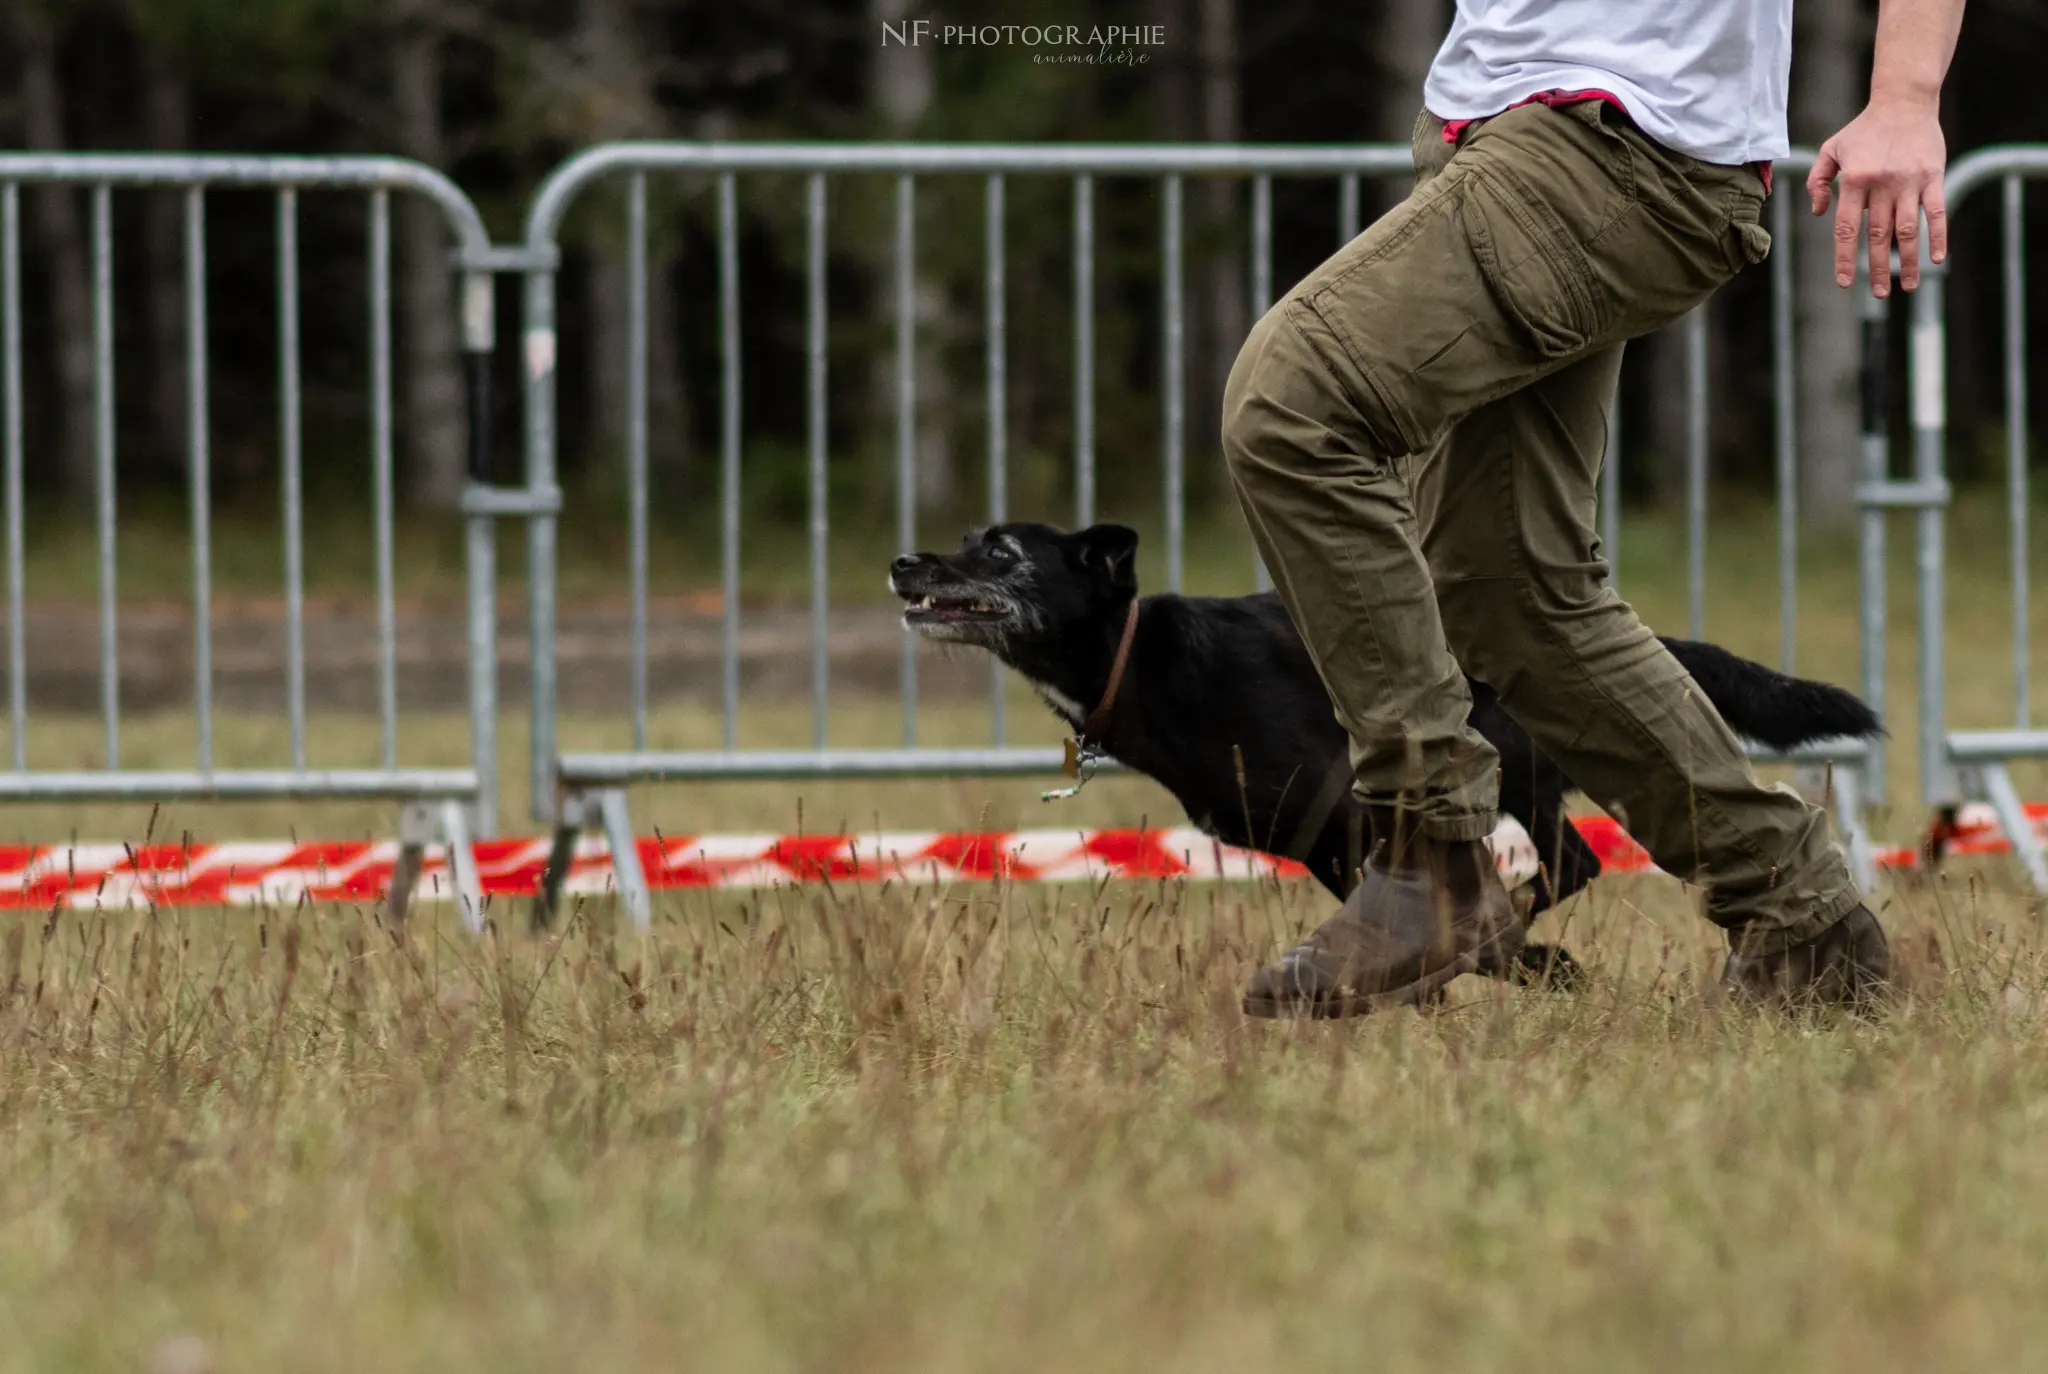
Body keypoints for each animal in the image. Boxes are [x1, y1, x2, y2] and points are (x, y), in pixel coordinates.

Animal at [888, 524, 1875, 991]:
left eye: (1001, 550)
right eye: (970, 538)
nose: (902, 562)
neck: (1143, 654)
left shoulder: (1350, 810)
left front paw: (1517, 961)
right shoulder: (1323, 840)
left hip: (1509, 757)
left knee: (1569, 862)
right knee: (1571, 861)